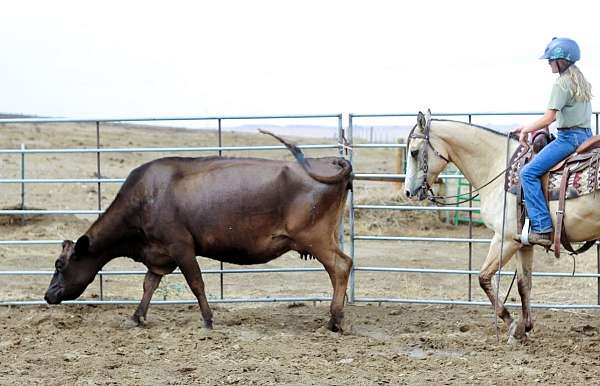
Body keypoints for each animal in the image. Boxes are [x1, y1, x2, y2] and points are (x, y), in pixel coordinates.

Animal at [44, 132, 354, 332]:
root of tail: (330, 160)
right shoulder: (159, 255)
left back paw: (335, 320)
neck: (145, 197)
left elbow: (196, 284)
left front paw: (207, 320)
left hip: (315, 238)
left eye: (60, 264)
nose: (48, 295)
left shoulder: (181, 246)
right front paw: (135, 317)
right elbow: (148, 285)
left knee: (341, 266)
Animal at [404, 111, 600, 344]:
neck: (497, 166)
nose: (408, 192)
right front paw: (524, 327)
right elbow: (524, 285)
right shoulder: (523, 243)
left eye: (414, 152)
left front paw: (512, 324)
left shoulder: (504, 239)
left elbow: (483, 278)